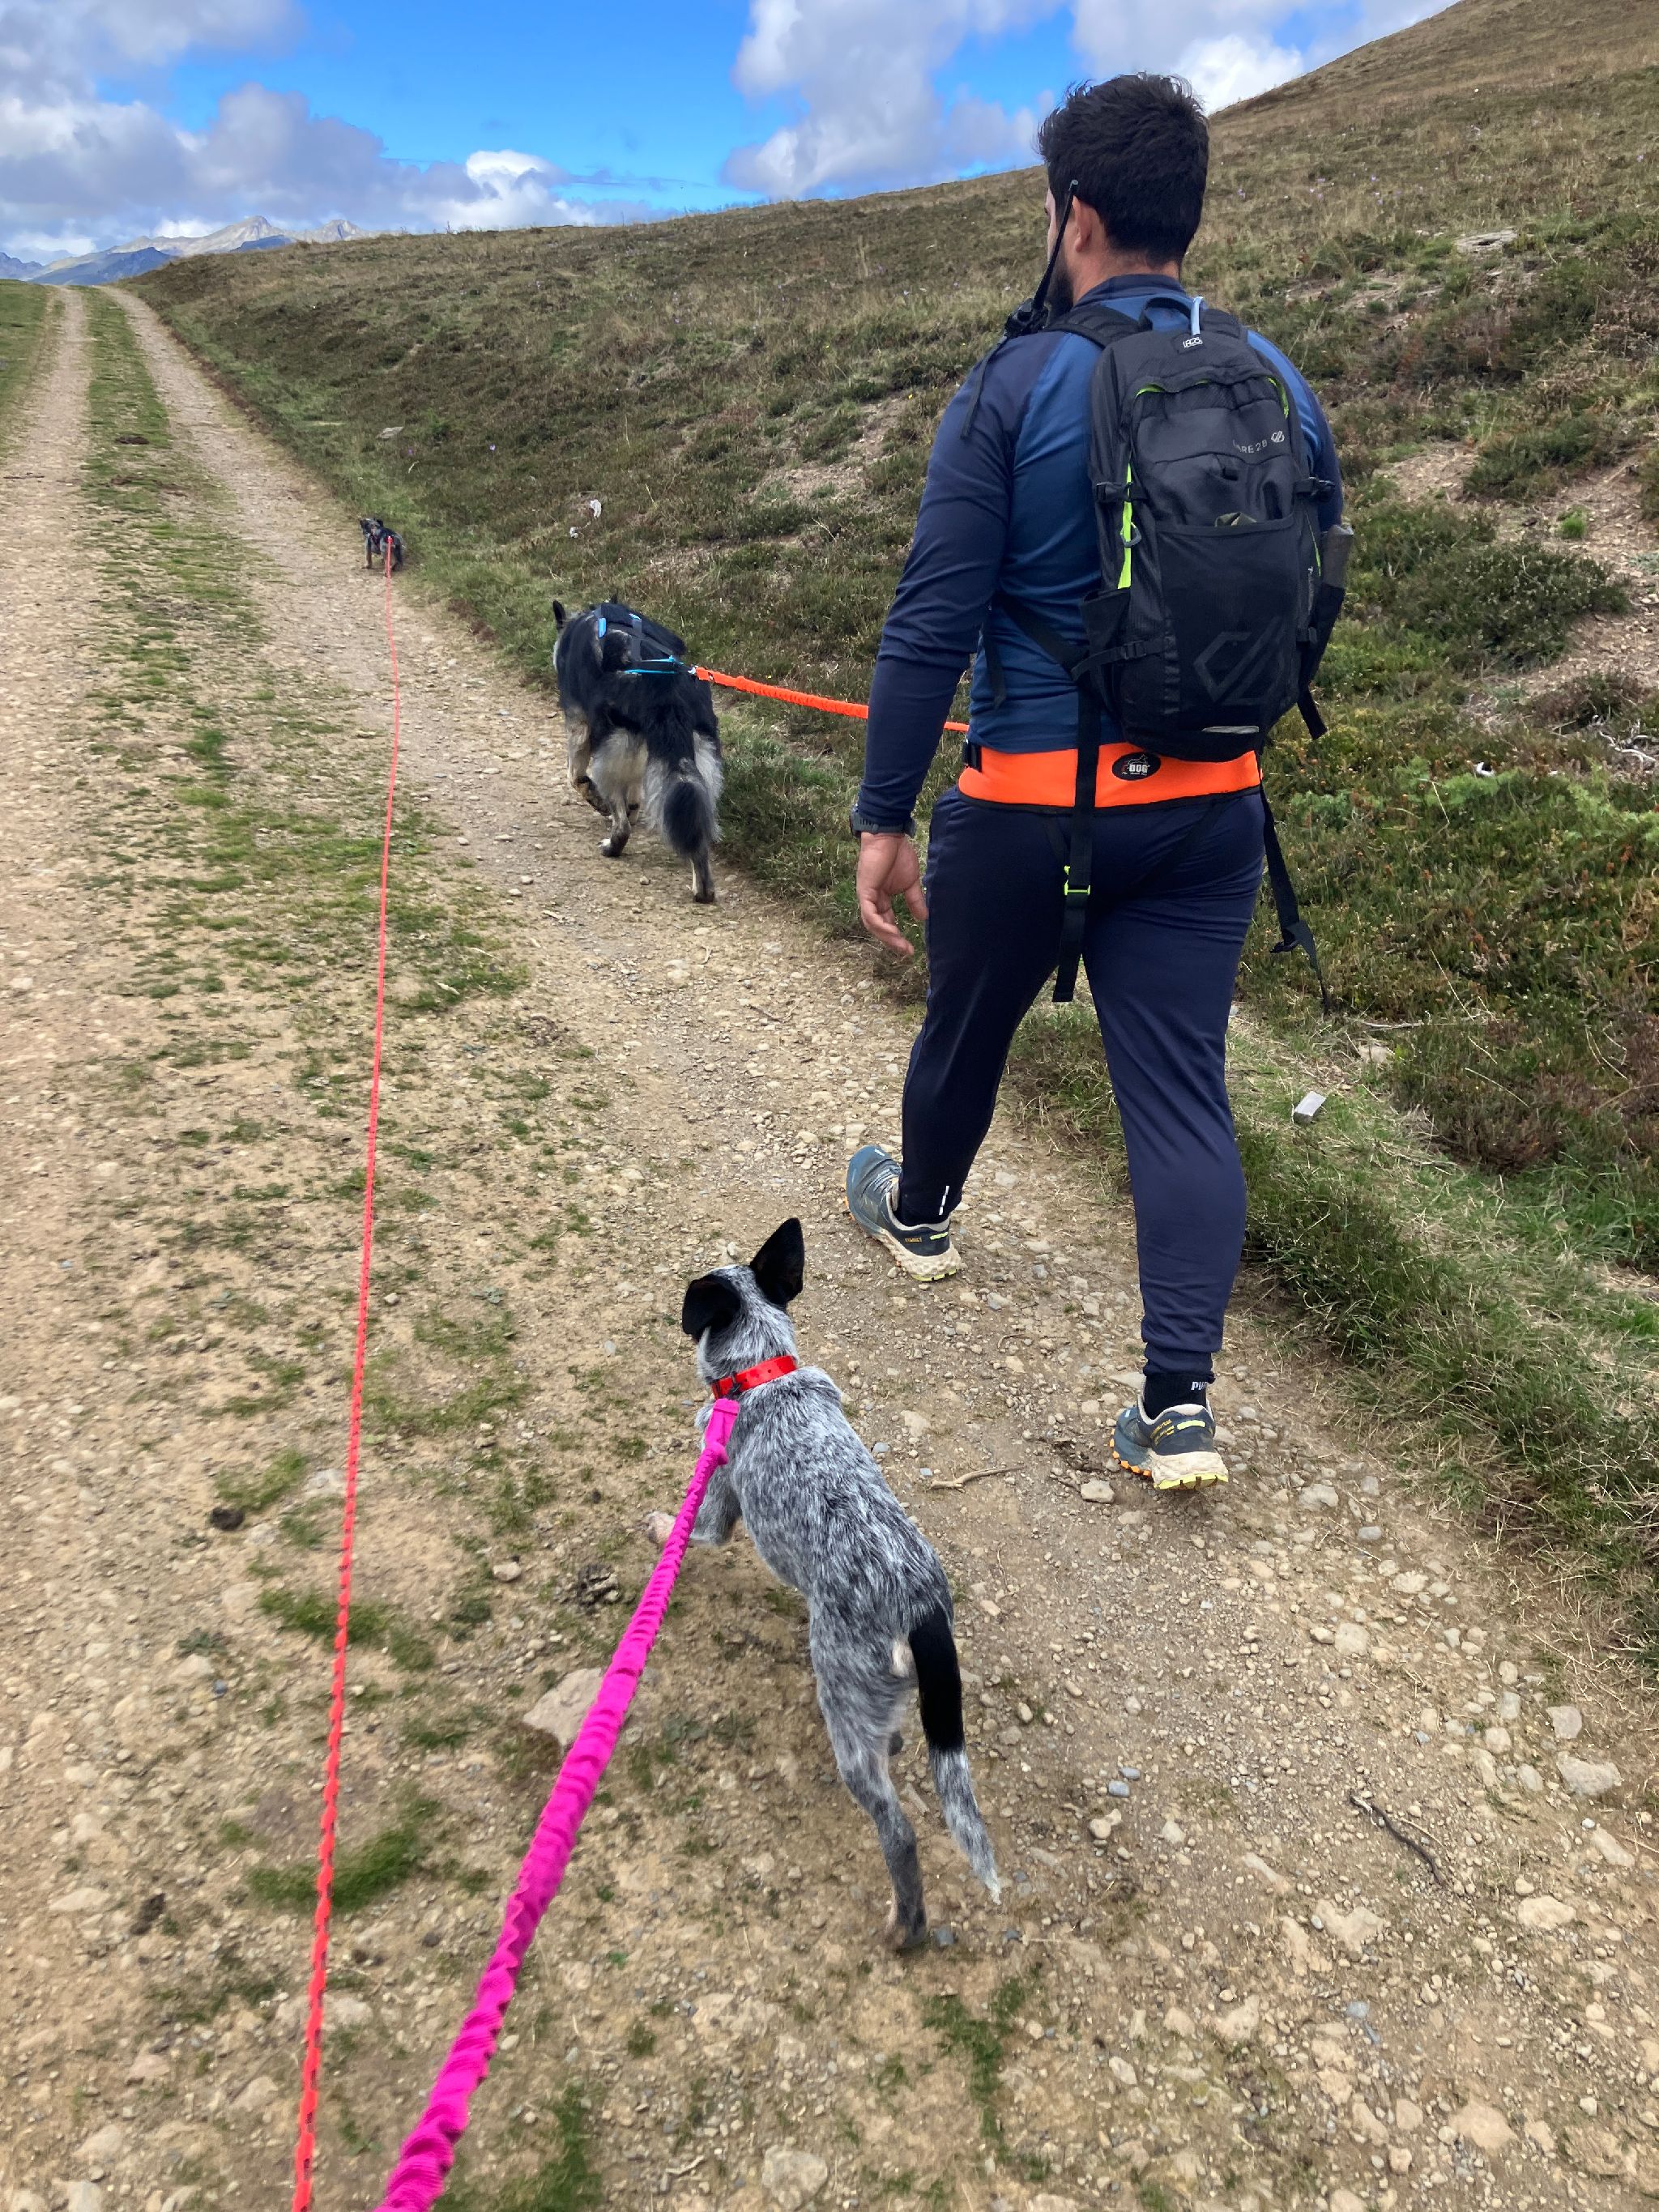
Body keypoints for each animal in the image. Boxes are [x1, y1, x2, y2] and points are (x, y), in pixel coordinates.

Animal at [552, 600, 722, 903]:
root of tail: (666, 692)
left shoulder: (579, 725)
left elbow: (575, 777)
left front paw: (594, 797)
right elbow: (631, 796)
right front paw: (630, 807)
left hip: (610, 754)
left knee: (622, 828)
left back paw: (611, 847)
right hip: (697, 764)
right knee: (696, 828)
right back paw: (703, 889)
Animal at [665, 1219, 999, 1949]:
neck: (761, 1369)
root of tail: (923, 1613)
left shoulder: (716, 1507)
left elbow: (681, 1531)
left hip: (846, 1705)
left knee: (898, 1833)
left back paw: (906, 1926)